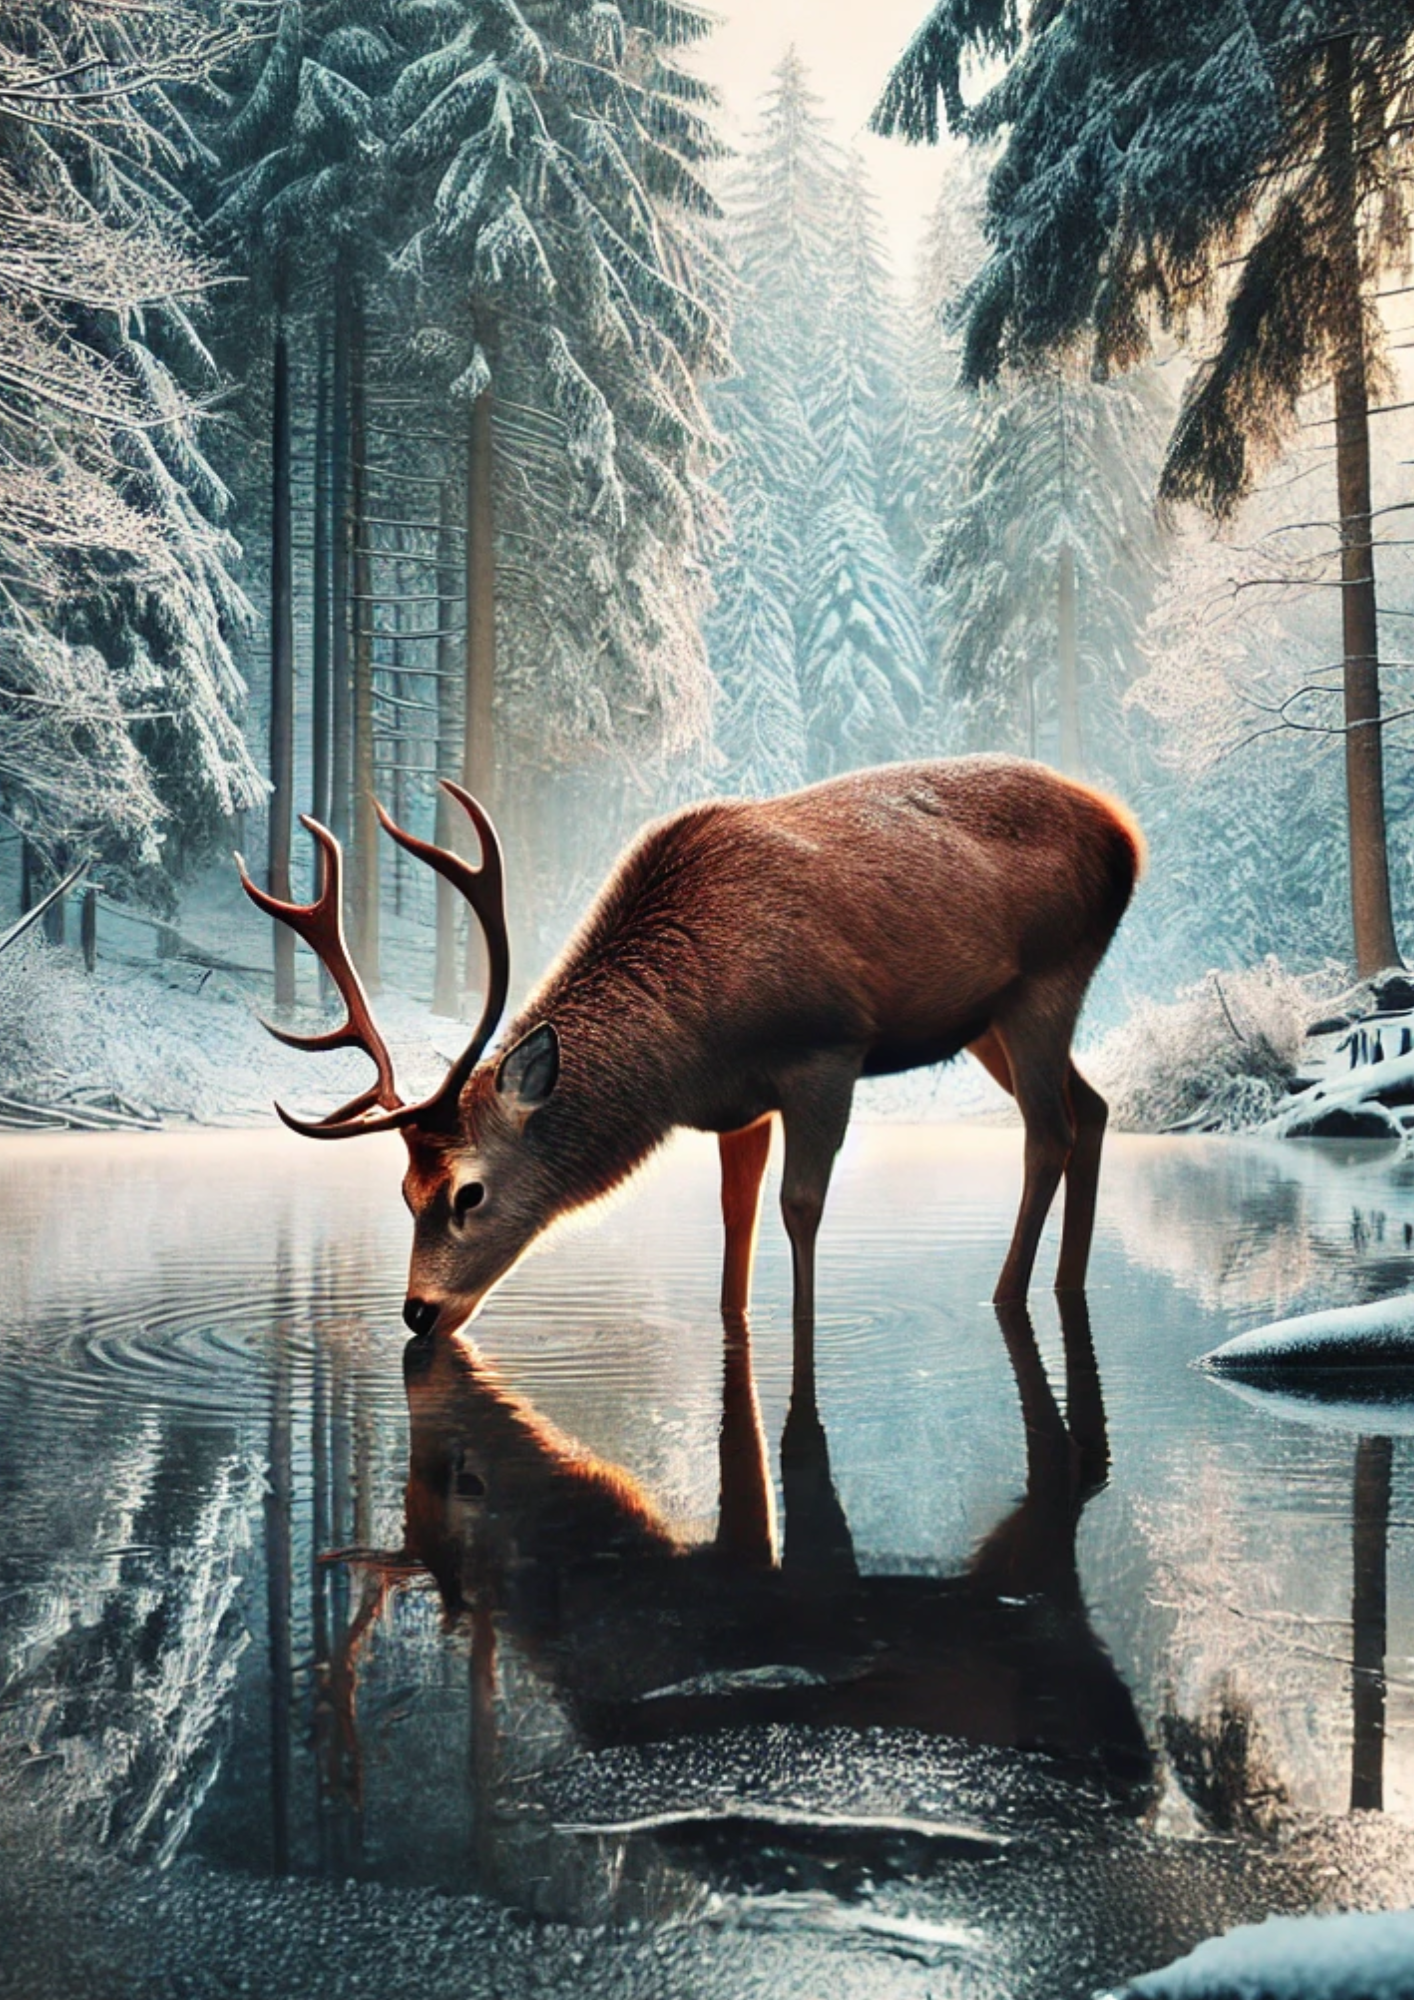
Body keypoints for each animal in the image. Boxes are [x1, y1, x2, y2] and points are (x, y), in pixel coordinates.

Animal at [238, 757, 1142, 1345]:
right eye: (403, 1190)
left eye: (468, 1192)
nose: (418, 1311)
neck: (689, 1052)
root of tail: (1127, 836)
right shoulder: (737, 1107)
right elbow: (736, 1217)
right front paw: (733, 1320)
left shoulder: (828, 1050)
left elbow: (799, 1207)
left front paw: (803, 1330)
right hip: (990, 1019)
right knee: (1094, 1108)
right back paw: (1068, 1282)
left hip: (1047, 981)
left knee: (1048, 1132)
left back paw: (1007, 1295)